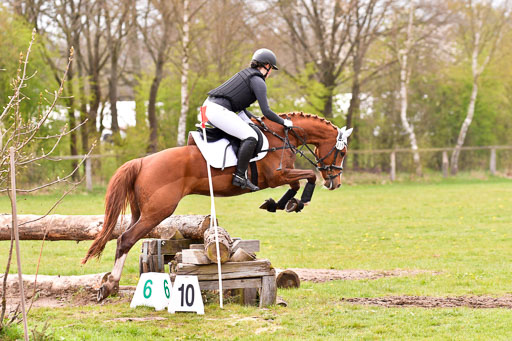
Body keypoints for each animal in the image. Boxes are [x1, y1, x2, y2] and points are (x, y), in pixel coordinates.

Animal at [82, 110, 352, 298]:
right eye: (342, 152)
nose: (335, 183)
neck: (281, 137)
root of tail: (141, 162)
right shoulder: (278, 175)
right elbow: (309, 176)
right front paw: (300, 202)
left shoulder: (282, 176)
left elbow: (296, 184)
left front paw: (278, 203)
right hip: (158, 211)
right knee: (125, 239)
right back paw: (110, 285)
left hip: (141, 212)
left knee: (126, 238)